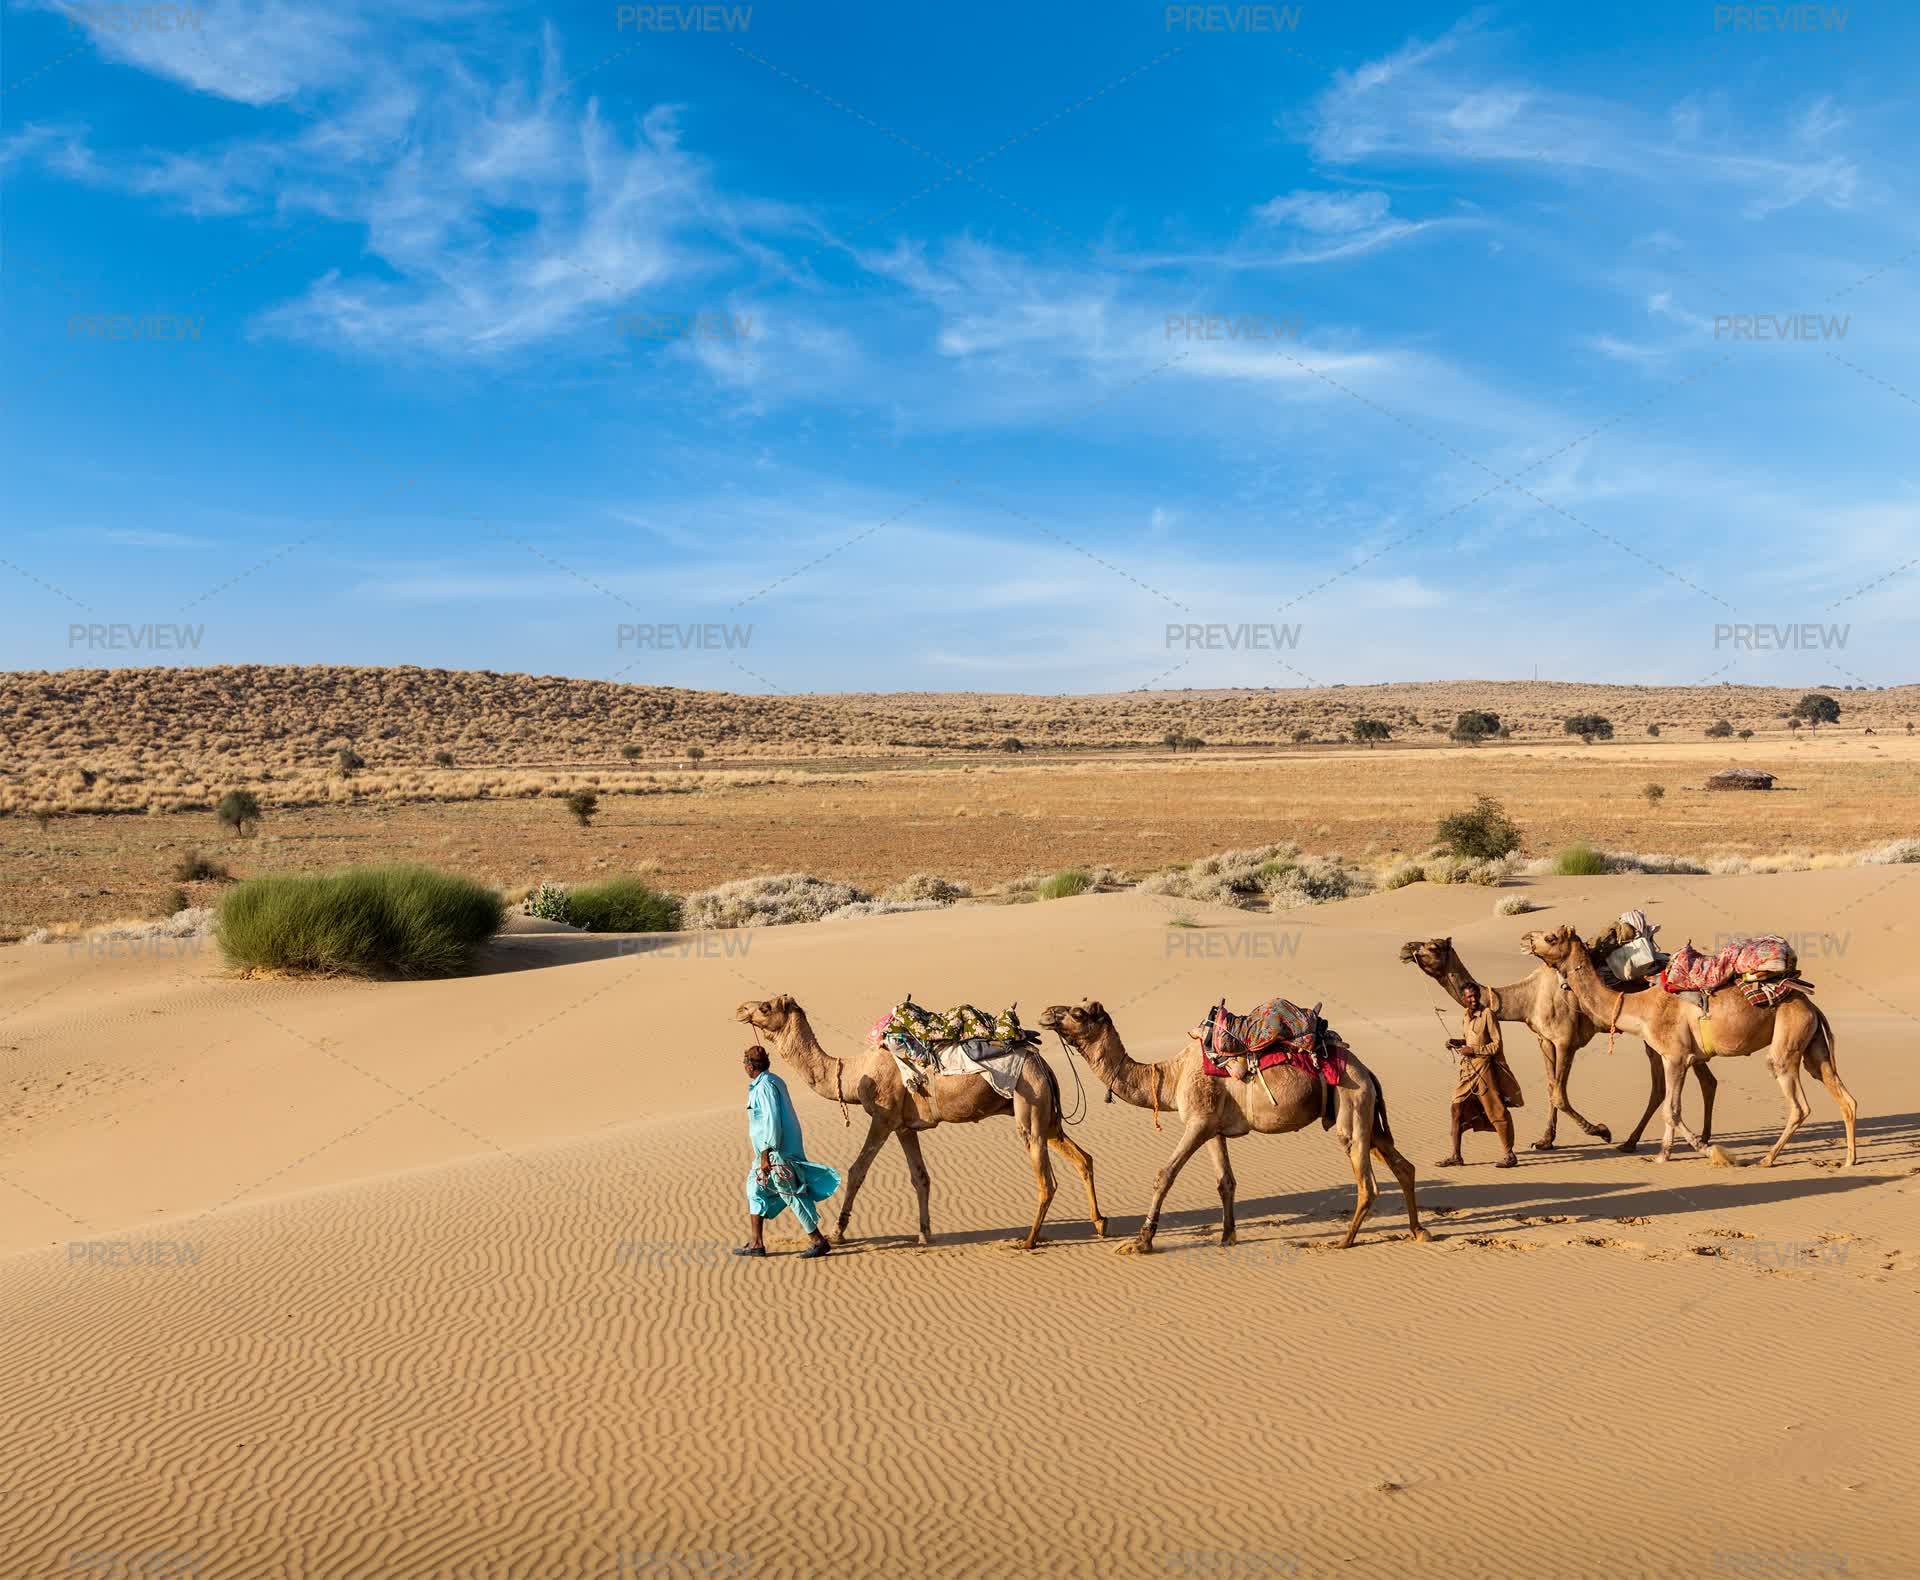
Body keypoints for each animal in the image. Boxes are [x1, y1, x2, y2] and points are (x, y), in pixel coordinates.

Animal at [735, 994, 1106, 1250]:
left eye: (765, 1007)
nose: (741, 1008)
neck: (854, 1073)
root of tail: (1041, 1062)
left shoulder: (883, 1117)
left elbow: (857, 1171)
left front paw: (838, 1232)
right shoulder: (903, 1126)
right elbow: (920, 1177)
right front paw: (925, 1234)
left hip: (1028, 1104)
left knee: (1047, 1179)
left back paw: (1028, 1241)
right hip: (1046, 1114)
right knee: (1082, 1158)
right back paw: (1099, 1224)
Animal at [1038, 1002, 1428, 1252]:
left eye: (1076, 1012)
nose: (1045, 1014)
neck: (1170, 1077)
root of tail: (1368, 1072)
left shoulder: (1197, 1122)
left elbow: (1164, 1175)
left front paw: (1140, 1241)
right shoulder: (1213, 1128)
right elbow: (1225, 1182)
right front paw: (1227, 1237)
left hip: (1352, 1103)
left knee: (1367, 1183)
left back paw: (1342, 1241)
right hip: (1368, 1115)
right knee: (1403, 1167)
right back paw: (1418, 1230)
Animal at [1400, 936, 1717, 1152]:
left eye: (1433, 947)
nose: (1405, 948)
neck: (1528, 997)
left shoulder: (1566, 1041)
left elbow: (1560, 1095)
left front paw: (1600, 1131)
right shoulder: (1545, 1040)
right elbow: (1551, 1088)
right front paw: (1545, 1140)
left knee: (1668, 1084)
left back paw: (1643, 1141)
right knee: (1702, 1080)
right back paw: (1690, 1138)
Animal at [1520, 927, 1857, 1166]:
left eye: (1550, 936)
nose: (1524, 938)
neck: (1640, 1007)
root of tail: (1811, 1005)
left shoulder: (1675, 1056)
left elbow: (1671, 1110)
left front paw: (1709, 1151)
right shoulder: (1673, 1057)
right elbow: (1669, 1106)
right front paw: (1664, 1154)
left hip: (1787, 1041)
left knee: (1798, 1103)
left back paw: (1767, 1158)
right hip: (1813, 1046)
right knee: (1844, 1096)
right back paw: (1849, 1160)